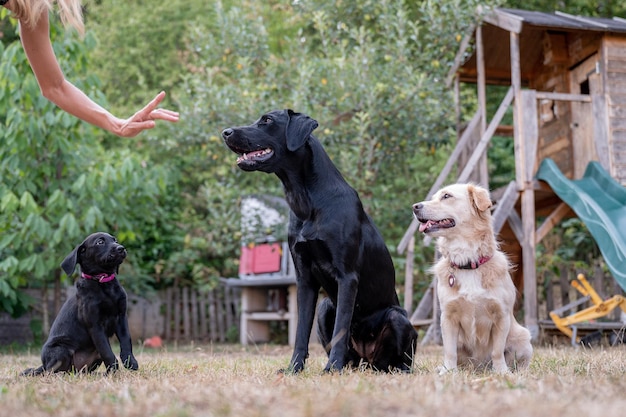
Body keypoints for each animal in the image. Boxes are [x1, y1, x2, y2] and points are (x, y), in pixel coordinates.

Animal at [23, 231, 139, 374]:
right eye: (100, 242)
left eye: (115, 240)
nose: (121, 248)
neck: (103, 282)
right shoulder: (95, 325)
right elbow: (107, 351)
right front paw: (113, 371)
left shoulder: (121, 317)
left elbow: (126, 341)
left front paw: (130, 363)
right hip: (60, 349)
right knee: (51, 371)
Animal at [222, 109, 416, 372]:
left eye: (267, 120)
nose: (225, 132)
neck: (307, 201)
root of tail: (367, 360)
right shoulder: (304, 278)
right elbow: (301, 331)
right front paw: (294, 368)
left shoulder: (347, 277)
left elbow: (341, 329)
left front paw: (332, 368)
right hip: (326, 308)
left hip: (398, 319)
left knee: (398, 359)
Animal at [412, 184, 528, 372]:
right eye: (434, 197)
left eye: (446, 196)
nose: (415, 207)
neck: (467, 261)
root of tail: (480, 367)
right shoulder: (448, 317)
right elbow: (449, 351)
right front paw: (449, 371)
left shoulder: (501, 315)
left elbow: (497, 351)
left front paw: (501, 372)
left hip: (523, 337)